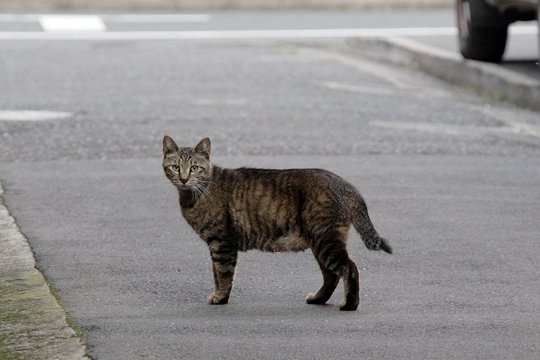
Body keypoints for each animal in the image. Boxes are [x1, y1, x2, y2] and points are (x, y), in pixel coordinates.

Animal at [161, 136, 392, 310]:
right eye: (175, 167)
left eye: (194, 168)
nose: (183, 178)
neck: (194, 195)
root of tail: (345, 184)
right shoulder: (215, 244)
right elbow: (216, 273)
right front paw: (218, 293)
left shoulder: (222, 242)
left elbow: (223, 274)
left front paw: (220, 298)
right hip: (320, 242)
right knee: (331, 275)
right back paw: (317, 299)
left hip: (325, 239)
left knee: (349, 268)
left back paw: (350, 304)